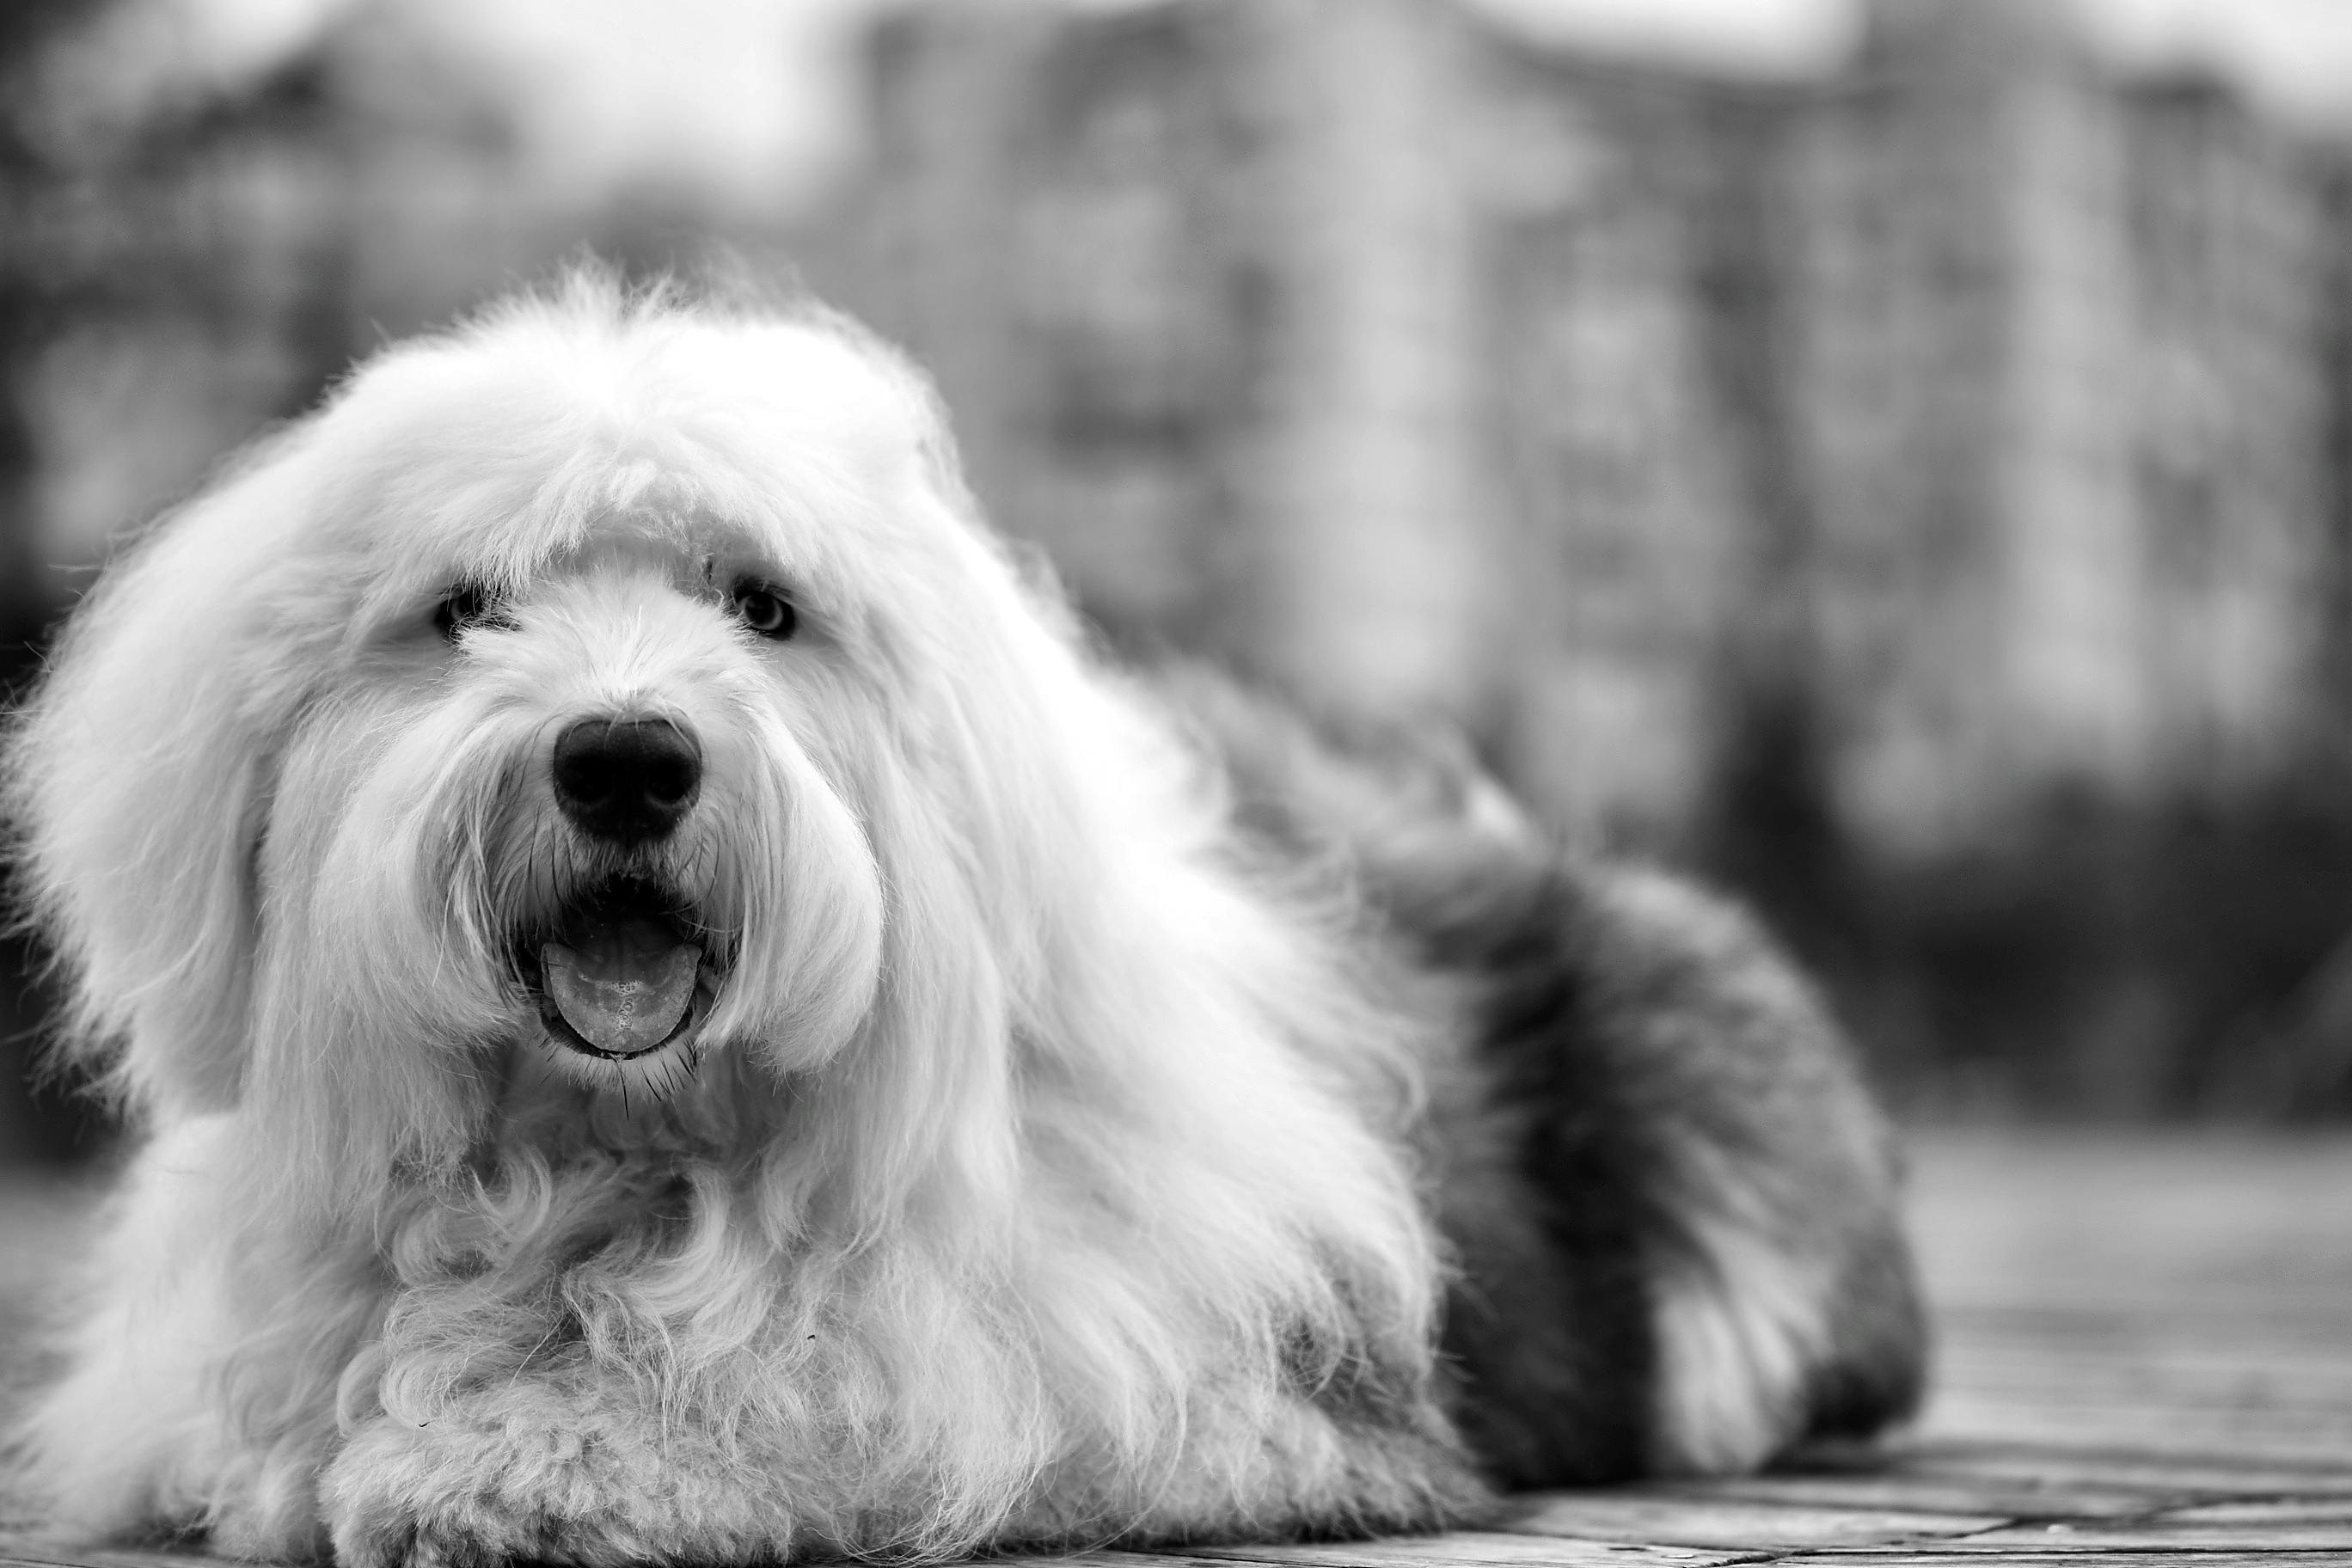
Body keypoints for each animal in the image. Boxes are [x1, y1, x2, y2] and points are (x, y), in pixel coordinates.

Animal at [4, 276, 1909, 1560]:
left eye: (763, 604)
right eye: (466, 607)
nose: (624, 756)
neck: (622, 1148)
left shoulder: (1182, 1382)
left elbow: (844, 1392)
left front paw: (534, 1457)